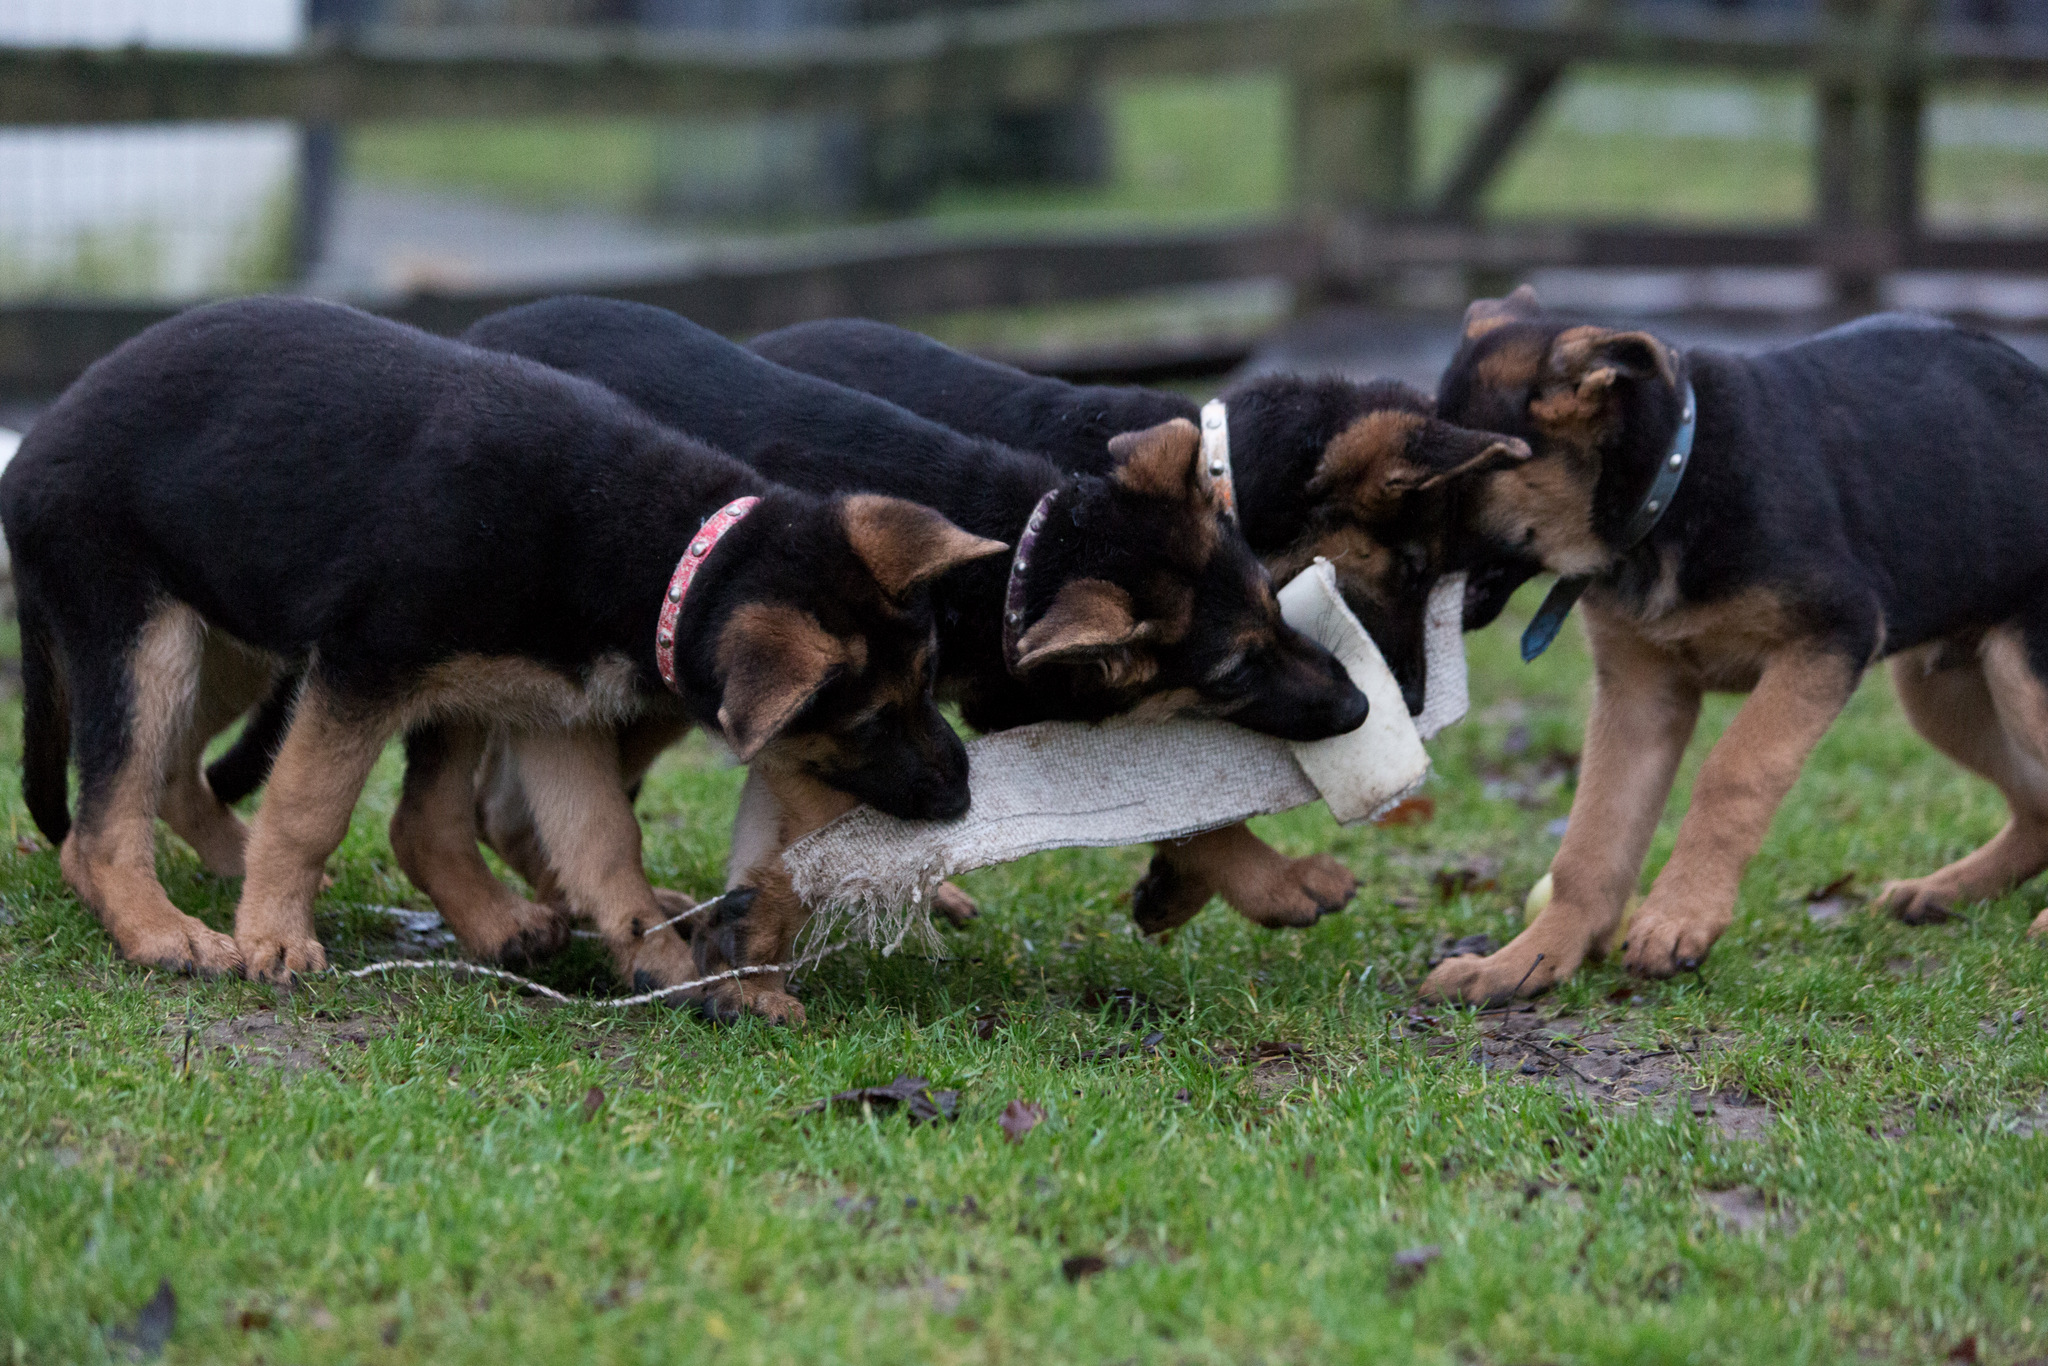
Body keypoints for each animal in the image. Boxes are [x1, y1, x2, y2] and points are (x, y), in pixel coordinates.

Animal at [2, 296, 999, 995]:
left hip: (250, 633)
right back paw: (163, 931)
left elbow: (602, 839)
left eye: (930, 682)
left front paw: (657, 960)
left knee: (238, 786)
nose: (963, 795)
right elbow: (310, 807)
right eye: (868, 721)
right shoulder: (365, 666)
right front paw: (274, 938)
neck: (670, 553)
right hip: (147, 634)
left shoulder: (547, 708)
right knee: (102, 820)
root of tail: (34, 442)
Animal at [444, 299, 1376, 1019]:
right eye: (1234, 670)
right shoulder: (813, 728)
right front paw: (1279, 880)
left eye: (1275, 603)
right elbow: (1201, 818)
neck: (1016, 559)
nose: (1362, 707)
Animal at [749, 321, 1523, 942]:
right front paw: (1272, 884)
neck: (1227, 475)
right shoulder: (1036, 692)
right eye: (1414, 569)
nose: (1409, 704)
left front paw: (1177, 889)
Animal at [1425, 286, 2048, 1003]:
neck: (1670, 487)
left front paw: (1678, 917)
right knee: (2038, 804)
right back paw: (1943, 890)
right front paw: (1530, 959)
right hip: (1943, 692)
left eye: (1460, 476)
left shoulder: (1829, 637)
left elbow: (1734, 771)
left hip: (2025, 678)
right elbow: (1593, 835)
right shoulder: (1639, 695)